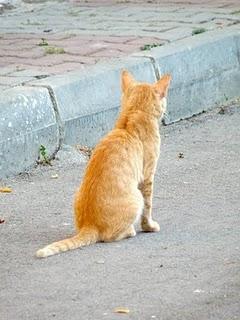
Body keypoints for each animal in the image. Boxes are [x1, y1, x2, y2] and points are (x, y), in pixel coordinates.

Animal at [36, 70, 171, 258]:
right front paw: (149, 227)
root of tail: (89, 225)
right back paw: (129, 231)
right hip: (136, 197)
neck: (131, 117)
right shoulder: (148, 176)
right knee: (110, 236)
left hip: (77, 193)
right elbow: (148, 207)